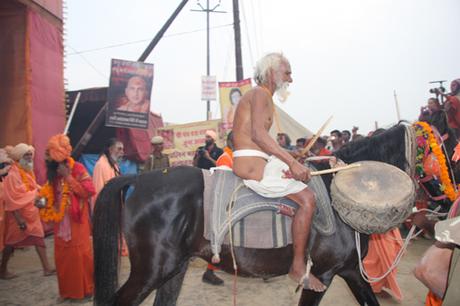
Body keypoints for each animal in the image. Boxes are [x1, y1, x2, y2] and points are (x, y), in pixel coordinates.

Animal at [92, 120, 456, 304]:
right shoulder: (322, 275)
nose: (448, 201)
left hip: (173, 269)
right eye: (438, 152)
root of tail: (141, 179)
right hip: (151, 270)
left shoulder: (351, 271)